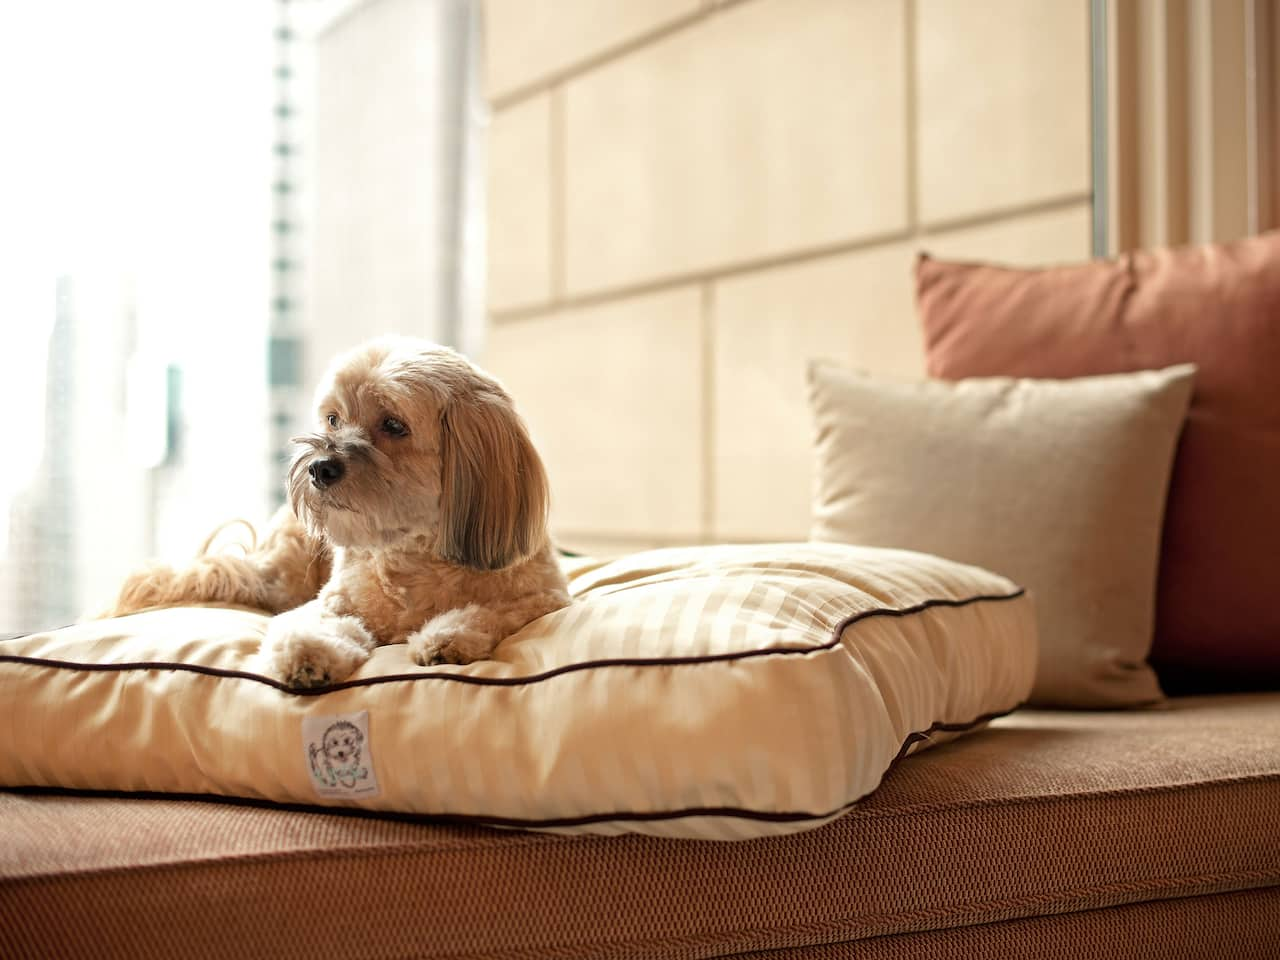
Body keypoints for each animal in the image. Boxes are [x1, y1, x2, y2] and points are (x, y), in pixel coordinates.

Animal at [107, 337, 568, 691]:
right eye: (333, 419)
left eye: (394, 425)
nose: (319, 467)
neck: (412, 556)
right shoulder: (332, 604)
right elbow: (310, 624)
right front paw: (307, 654)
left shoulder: (545, 599)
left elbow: (492, 611)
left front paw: (447, 636)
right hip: (282, 574)